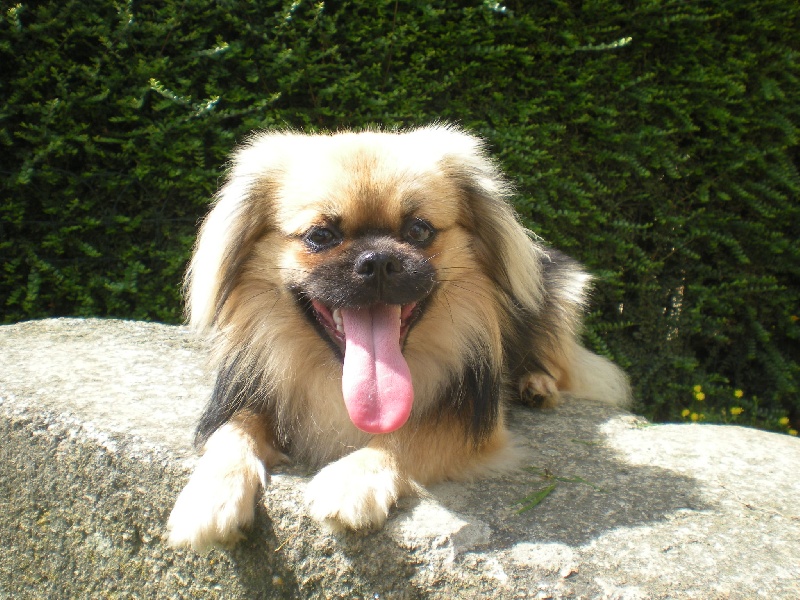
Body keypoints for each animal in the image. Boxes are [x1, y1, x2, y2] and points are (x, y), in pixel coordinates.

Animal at [166, 125, 630, 551]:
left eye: (419, 231)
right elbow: (233, 432)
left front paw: (353, 479)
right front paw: (210, 496)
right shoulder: (247, 394)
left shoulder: (469, 422)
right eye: (321, 236)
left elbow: (407, 435)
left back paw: (538, 384)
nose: (378, 260)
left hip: (559, 291)